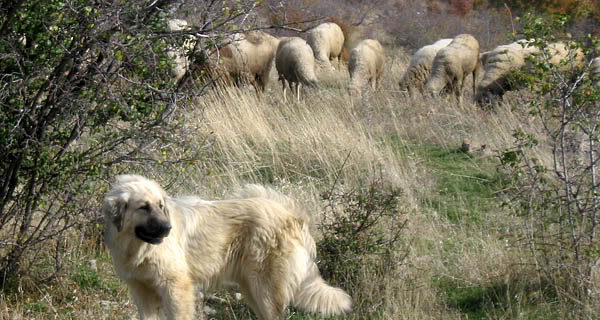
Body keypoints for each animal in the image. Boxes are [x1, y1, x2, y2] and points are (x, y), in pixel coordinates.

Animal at [103, 175, 352, 320]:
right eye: (144, 207)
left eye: (161, 205)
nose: (167, 228)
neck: (139, 249)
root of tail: (293, 215)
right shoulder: (142, 291)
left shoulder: (176, 288)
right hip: (253, 289)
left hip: (266, 290)